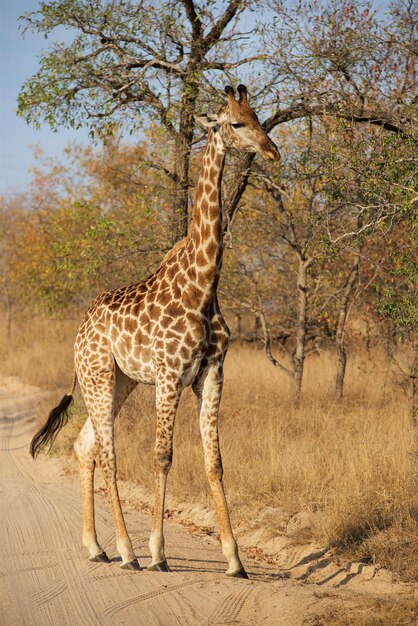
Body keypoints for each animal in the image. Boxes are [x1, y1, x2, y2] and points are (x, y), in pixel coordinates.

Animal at [30, 85, 280, 576]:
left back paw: (96, 547)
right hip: (99, 376)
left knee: (85, 444)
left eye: (260, 118)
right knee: (106, 453)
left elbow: (214, 462)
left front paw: (235, 559)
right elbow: (162, 456)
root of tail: (79, 331)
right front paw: (158, 552)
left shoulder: (212, 375)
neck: (202, 286)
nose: (272, 151)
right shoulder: (169, 375)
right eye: (235, 124)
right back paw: (128, 552)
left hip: (121, 380)